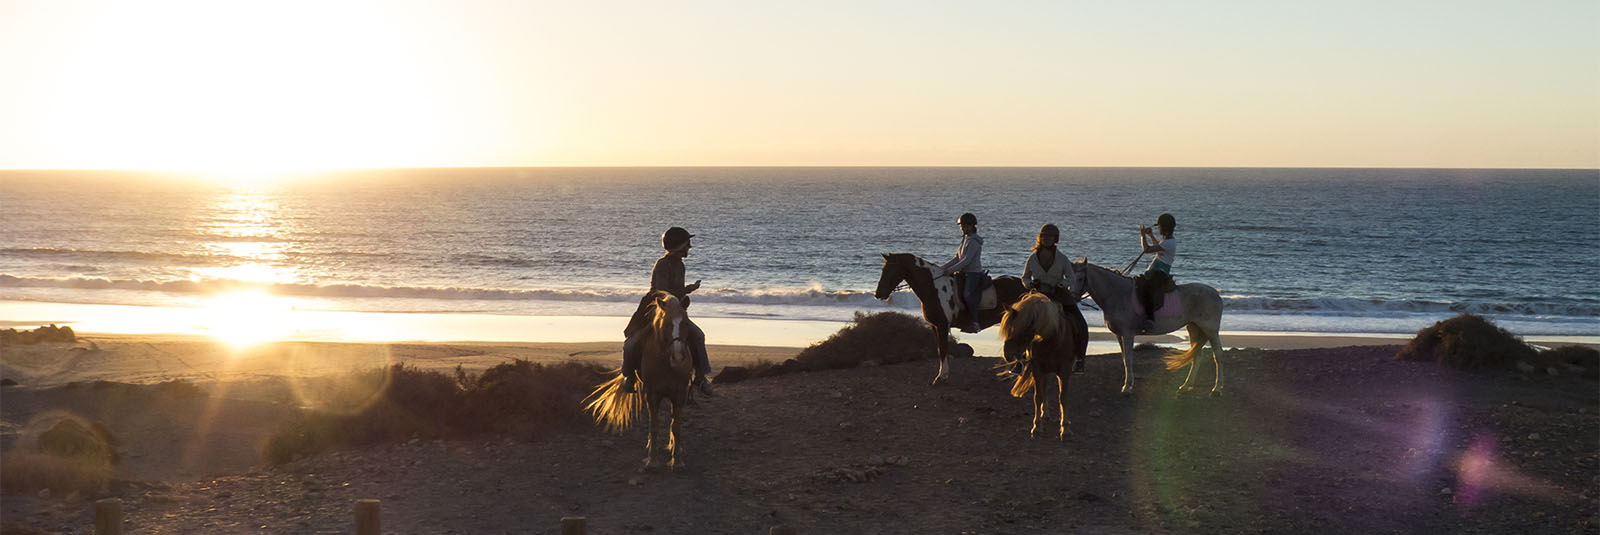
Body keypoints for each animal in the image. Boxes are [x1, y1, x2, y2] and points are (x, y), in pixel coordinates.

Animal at [585, 289, 691, 470]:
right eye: (666, 324)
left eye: (685, 323)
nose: (678, 357)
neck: (667, 363)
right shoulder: (652, 394)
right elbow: (654, 426)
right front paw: (652, 461)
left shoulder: (679, 394)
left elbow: (676, 427)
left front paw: (677, 461)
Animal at [876, 251, 1024, 384]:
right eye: (884, 269)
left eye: (889, 270)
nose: (878, 293)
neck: (934, 288)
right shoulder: (935, 325)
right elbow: (940, 350)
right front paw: (943, 375)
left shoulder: (942, 325)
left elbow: (943, 350)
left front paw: (941, 377)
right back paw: (1011, 374)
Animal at [992, 293, 1081, 438]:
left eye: (1023, 329)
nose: (1007, 354)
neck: (1051, 340)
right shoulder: (1037, 368)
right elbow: (1038, 396)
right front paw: (1037, 426)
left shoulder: (1065, 371)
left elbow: (1063, 397)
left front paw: (1065, 429)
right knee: (1044, 388)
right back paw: (1045, 414)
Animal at [1075, 261, 1222, 395]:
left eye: (1080, 278)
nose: (1073, 296)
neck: (1118, 294)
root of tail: (1216, 294)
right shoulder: (1119, 335)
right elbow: (1124, 359)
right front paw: (1128, 384)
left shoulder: (1127, 334)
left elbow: (1128, 359)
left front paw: (1127, 387)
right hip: (1193, 327)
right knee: (1196, 355)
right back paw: (1185, 386)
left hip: (1210, 330)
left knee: (1217, 354)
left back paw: (1217, 389)